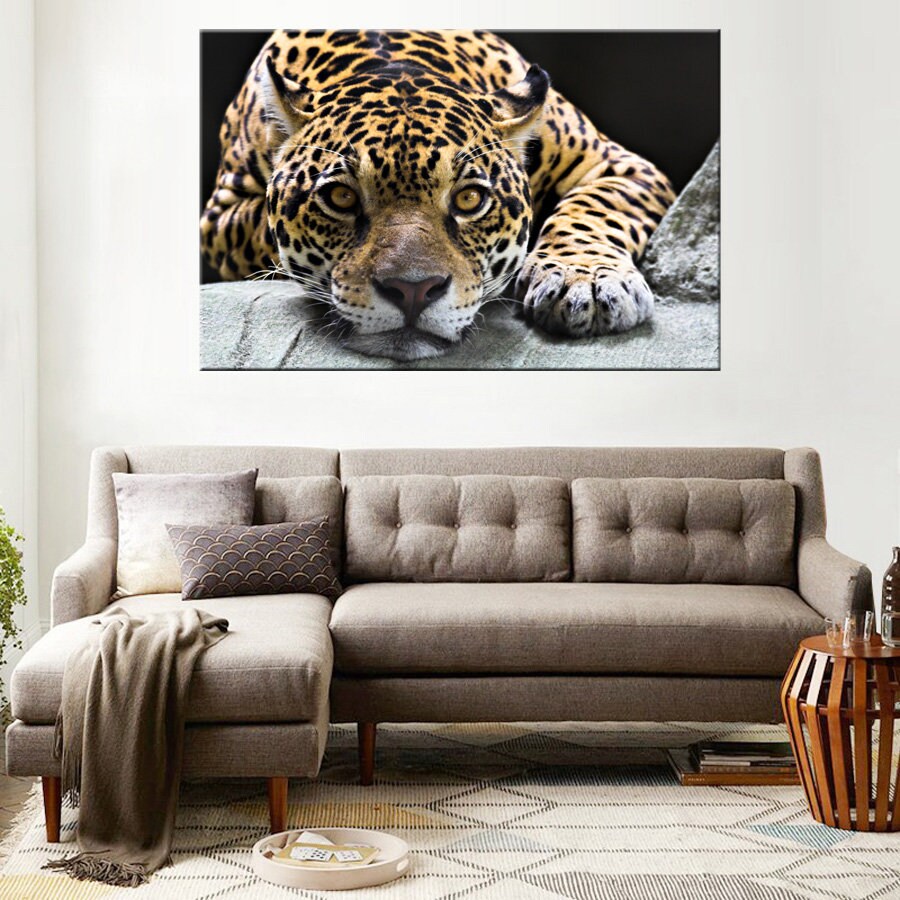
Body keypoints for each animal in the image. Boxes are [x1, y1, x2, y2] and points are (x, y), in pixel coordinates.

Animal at [200, 29, 676, 361]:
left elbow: (592, 211)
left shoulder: (617, 165)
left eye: (469, 200)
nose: (413, 291)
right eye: (341, 199)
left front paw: (588, 284)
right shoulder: (219, 218)